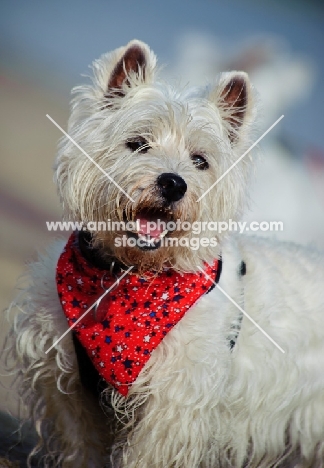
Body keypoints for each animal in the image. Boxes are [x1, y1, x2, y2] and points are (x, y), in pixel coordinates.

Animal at [7, 41, 324, 468]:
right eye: (138, 142)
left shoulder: (176, 400)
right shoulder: (66, 387)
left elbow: (149, 453)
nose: (173, 183)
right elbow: (81, 445)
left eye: (200, 160)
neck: (129, 275)